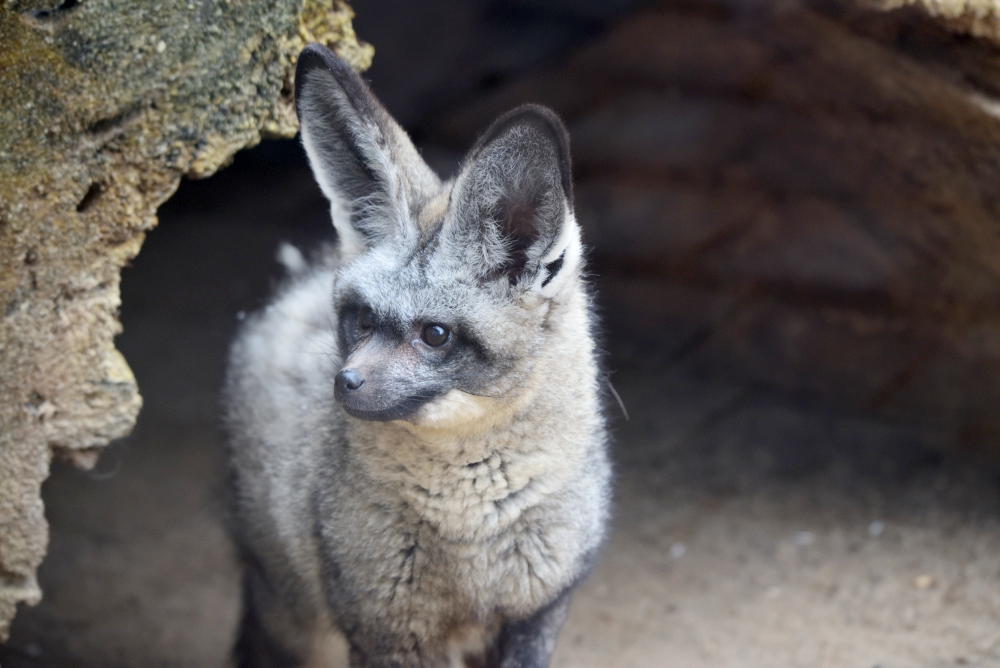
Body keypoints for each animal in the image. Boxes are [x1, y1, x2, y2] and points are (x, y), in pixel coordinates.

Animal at [225, 43, 608, 668]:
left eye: (435, 335)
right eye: (361, 319)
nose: (345, 382)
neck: (473, 527)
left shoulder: (539, 611)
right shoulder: (388, 630)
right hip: (293, 618)